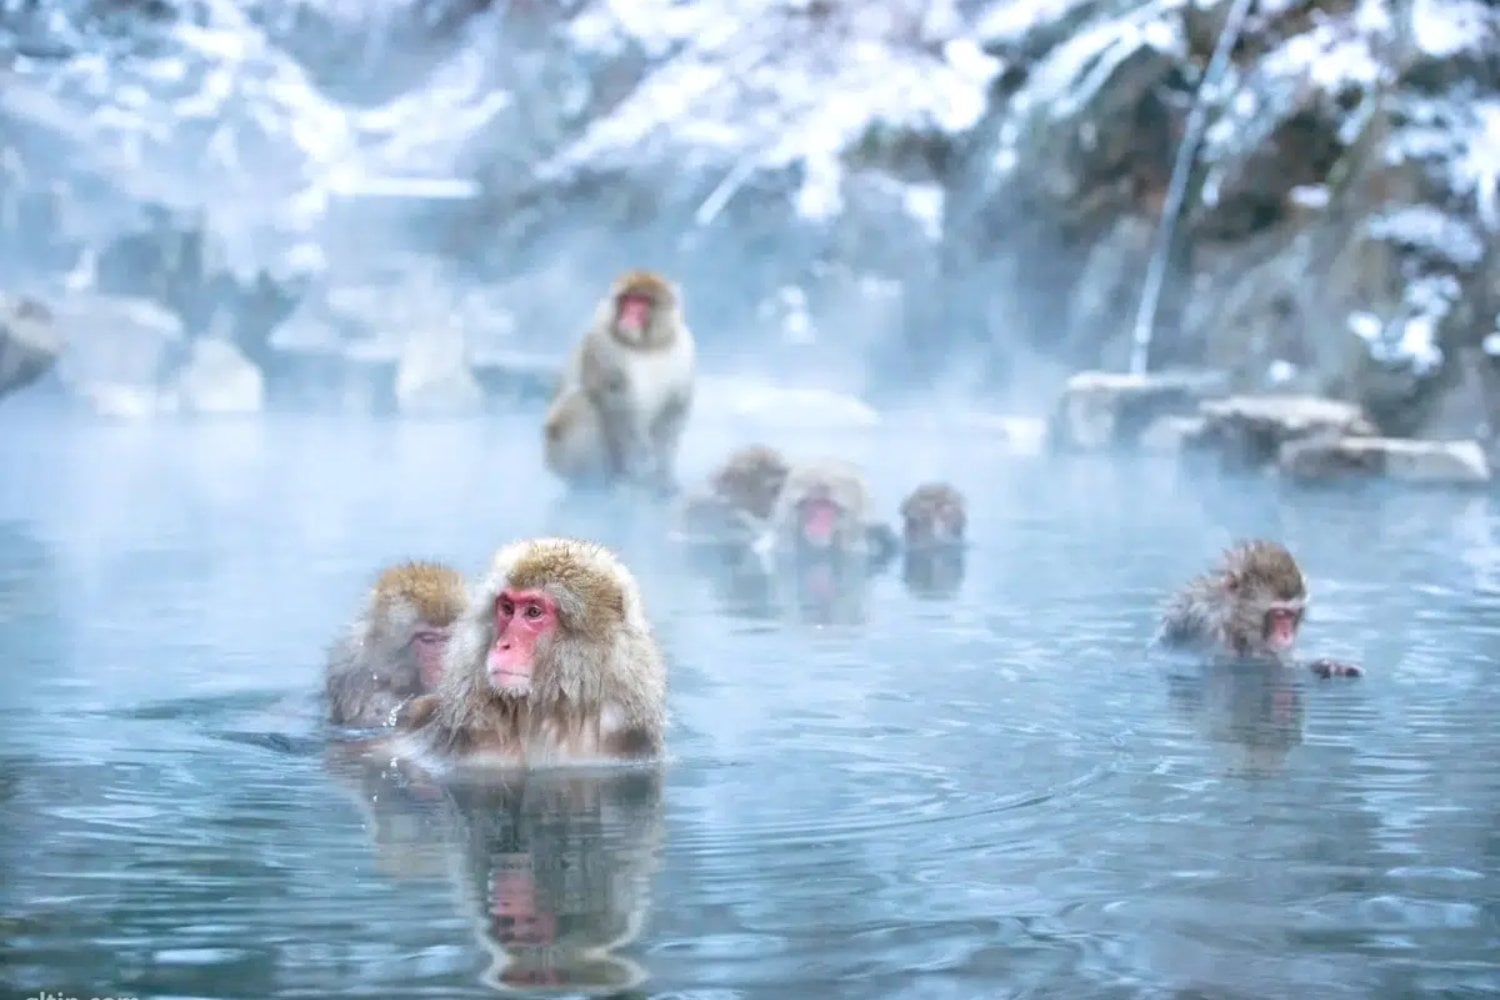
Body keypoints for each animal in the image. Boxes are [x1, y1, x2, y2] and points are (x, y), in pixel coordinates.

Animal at [543, 270, 696, 495]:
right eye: (626, 300)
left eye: (643, 301)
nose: (629, 315)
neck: (646, 347)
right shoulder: (602, 349)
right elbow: (616, 411)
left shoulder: (685, 354)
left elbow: (671, 416)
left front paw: (664, 478)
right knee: (580, 405)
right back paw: (597, 483)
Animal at [1153, 540, 1363, 678]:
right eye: (1279, 614)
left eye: (1292, 614)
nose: (1286, 635)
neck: (1230, 616)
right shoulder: (1208, 627)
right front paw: (1324, 666)